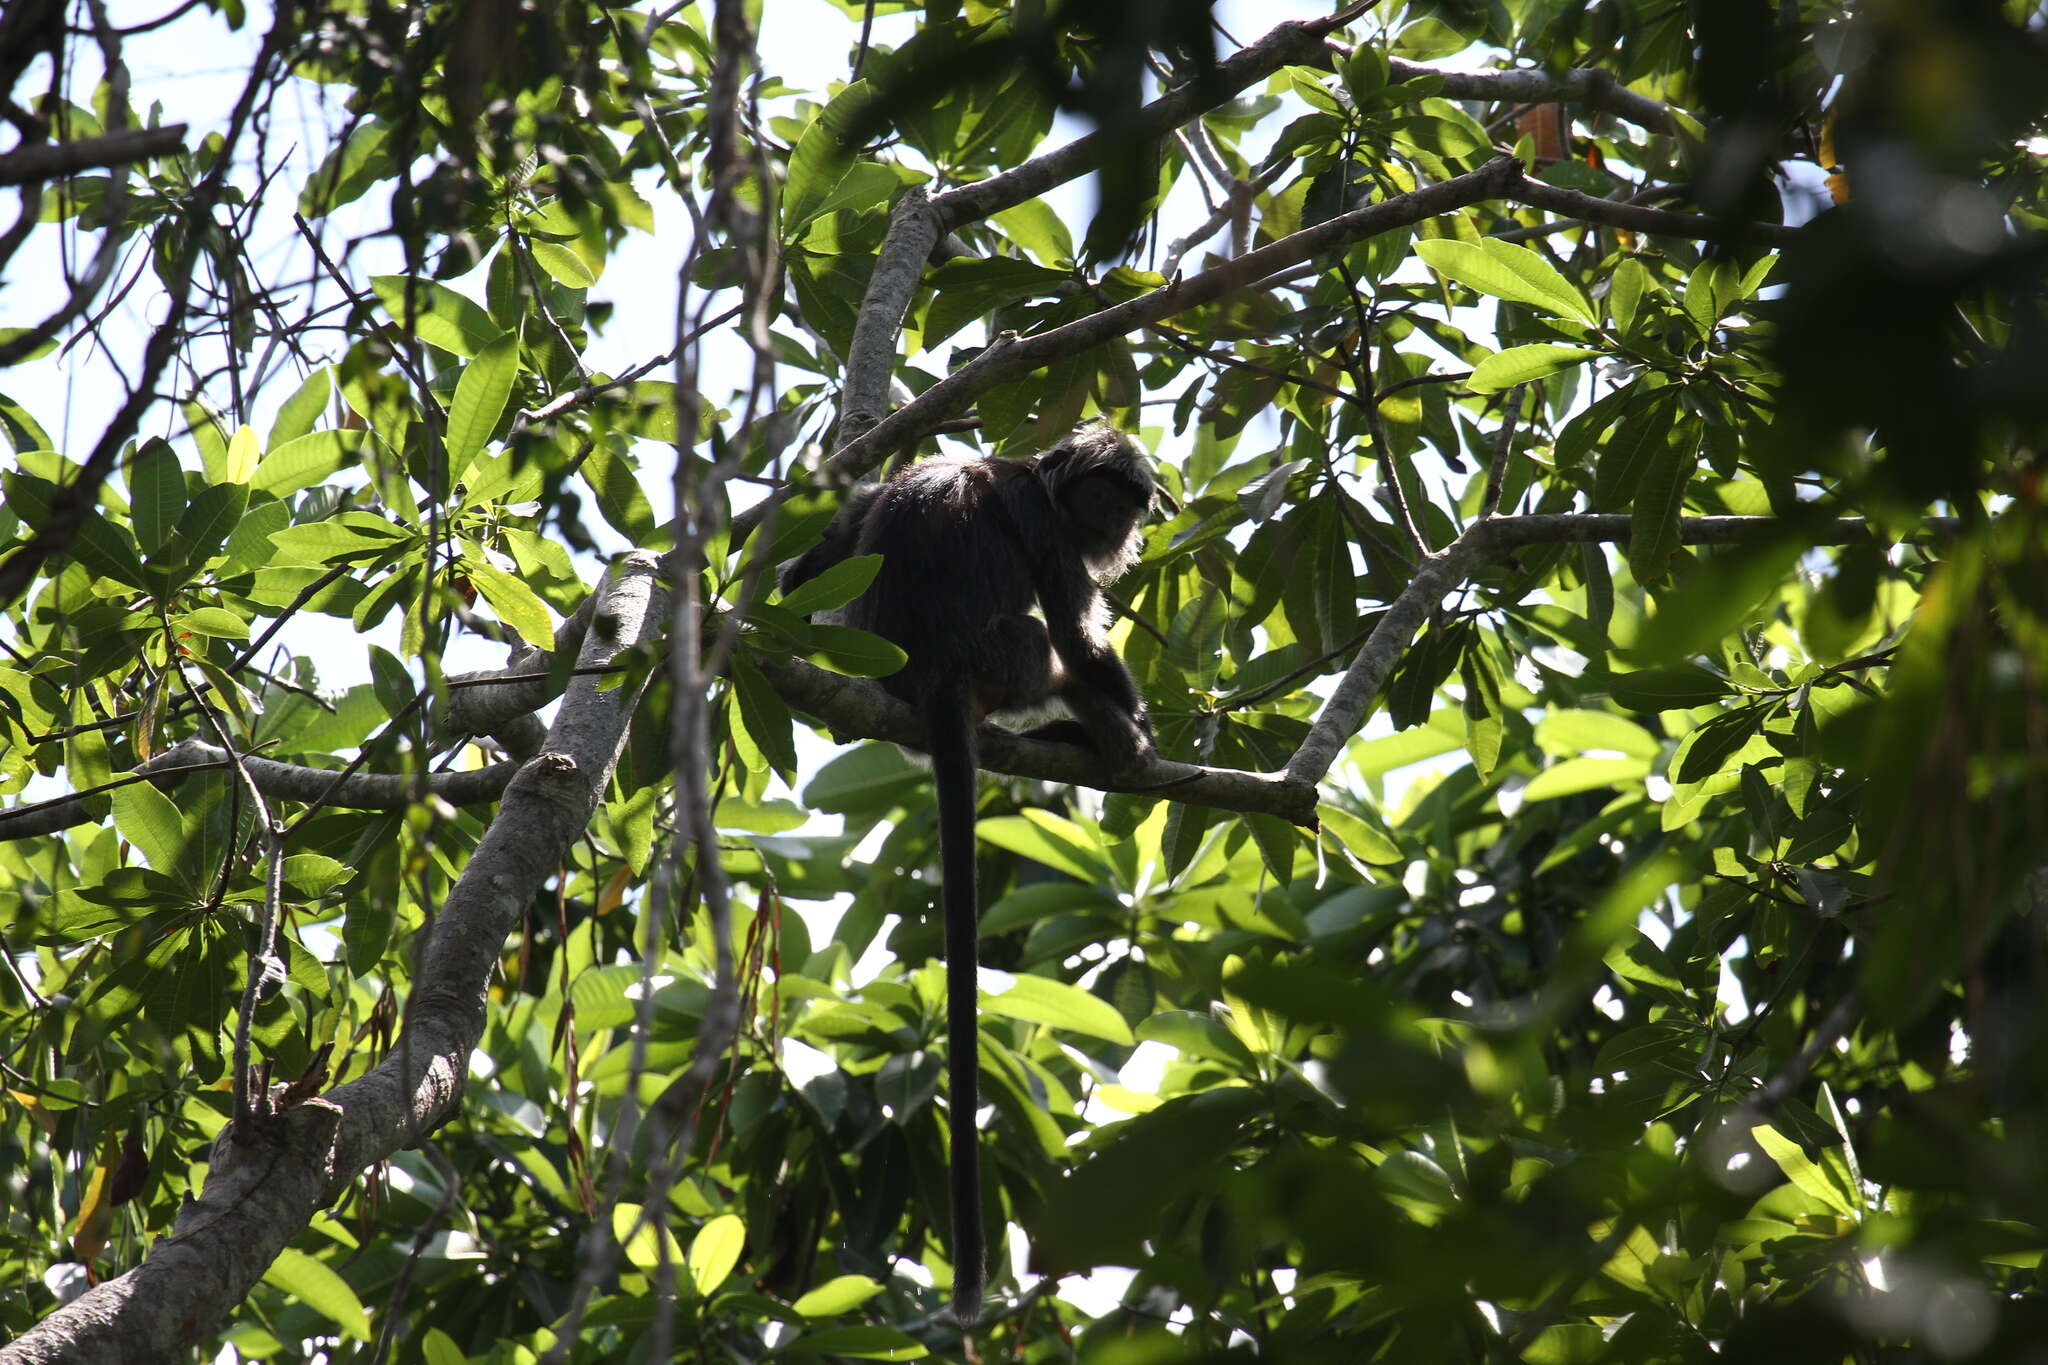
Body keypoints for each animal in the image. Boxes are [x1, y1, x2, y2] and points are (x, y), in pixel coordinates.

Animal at [774, 423, 1155, 1326]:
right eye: (1099, 498)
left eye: (1124, 504)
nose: (1112, 526)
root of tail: (935, 676)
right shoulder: (1045, 526)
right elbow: (1077, 632)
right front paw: (1132, 720)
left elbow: (820, 558)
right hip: (999, 656)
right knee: (1046, 644)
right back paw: (1093, 728)